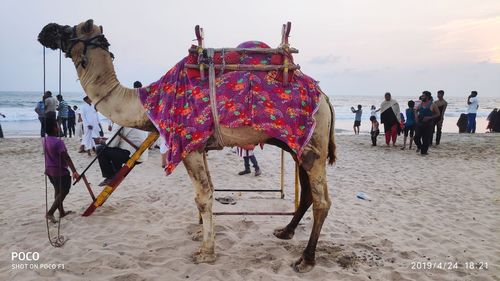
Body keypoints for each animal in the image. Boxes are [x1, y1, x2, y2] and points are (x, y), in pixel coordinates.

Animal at [38, 19, 336, 272]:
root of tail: (324, 96)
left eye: (69, 29)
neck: (148, 103)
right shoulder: (199, 147)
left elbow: (203, 196)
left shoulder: (189, 145)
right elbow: (207, 192)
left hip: (313, 145)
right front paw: (199, 234)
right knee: (308, 193)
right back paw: (285, 232)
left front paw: (206, 253)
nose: (45, 30)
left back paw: (306, 259)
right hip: (298, 146)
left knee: (322, 200)